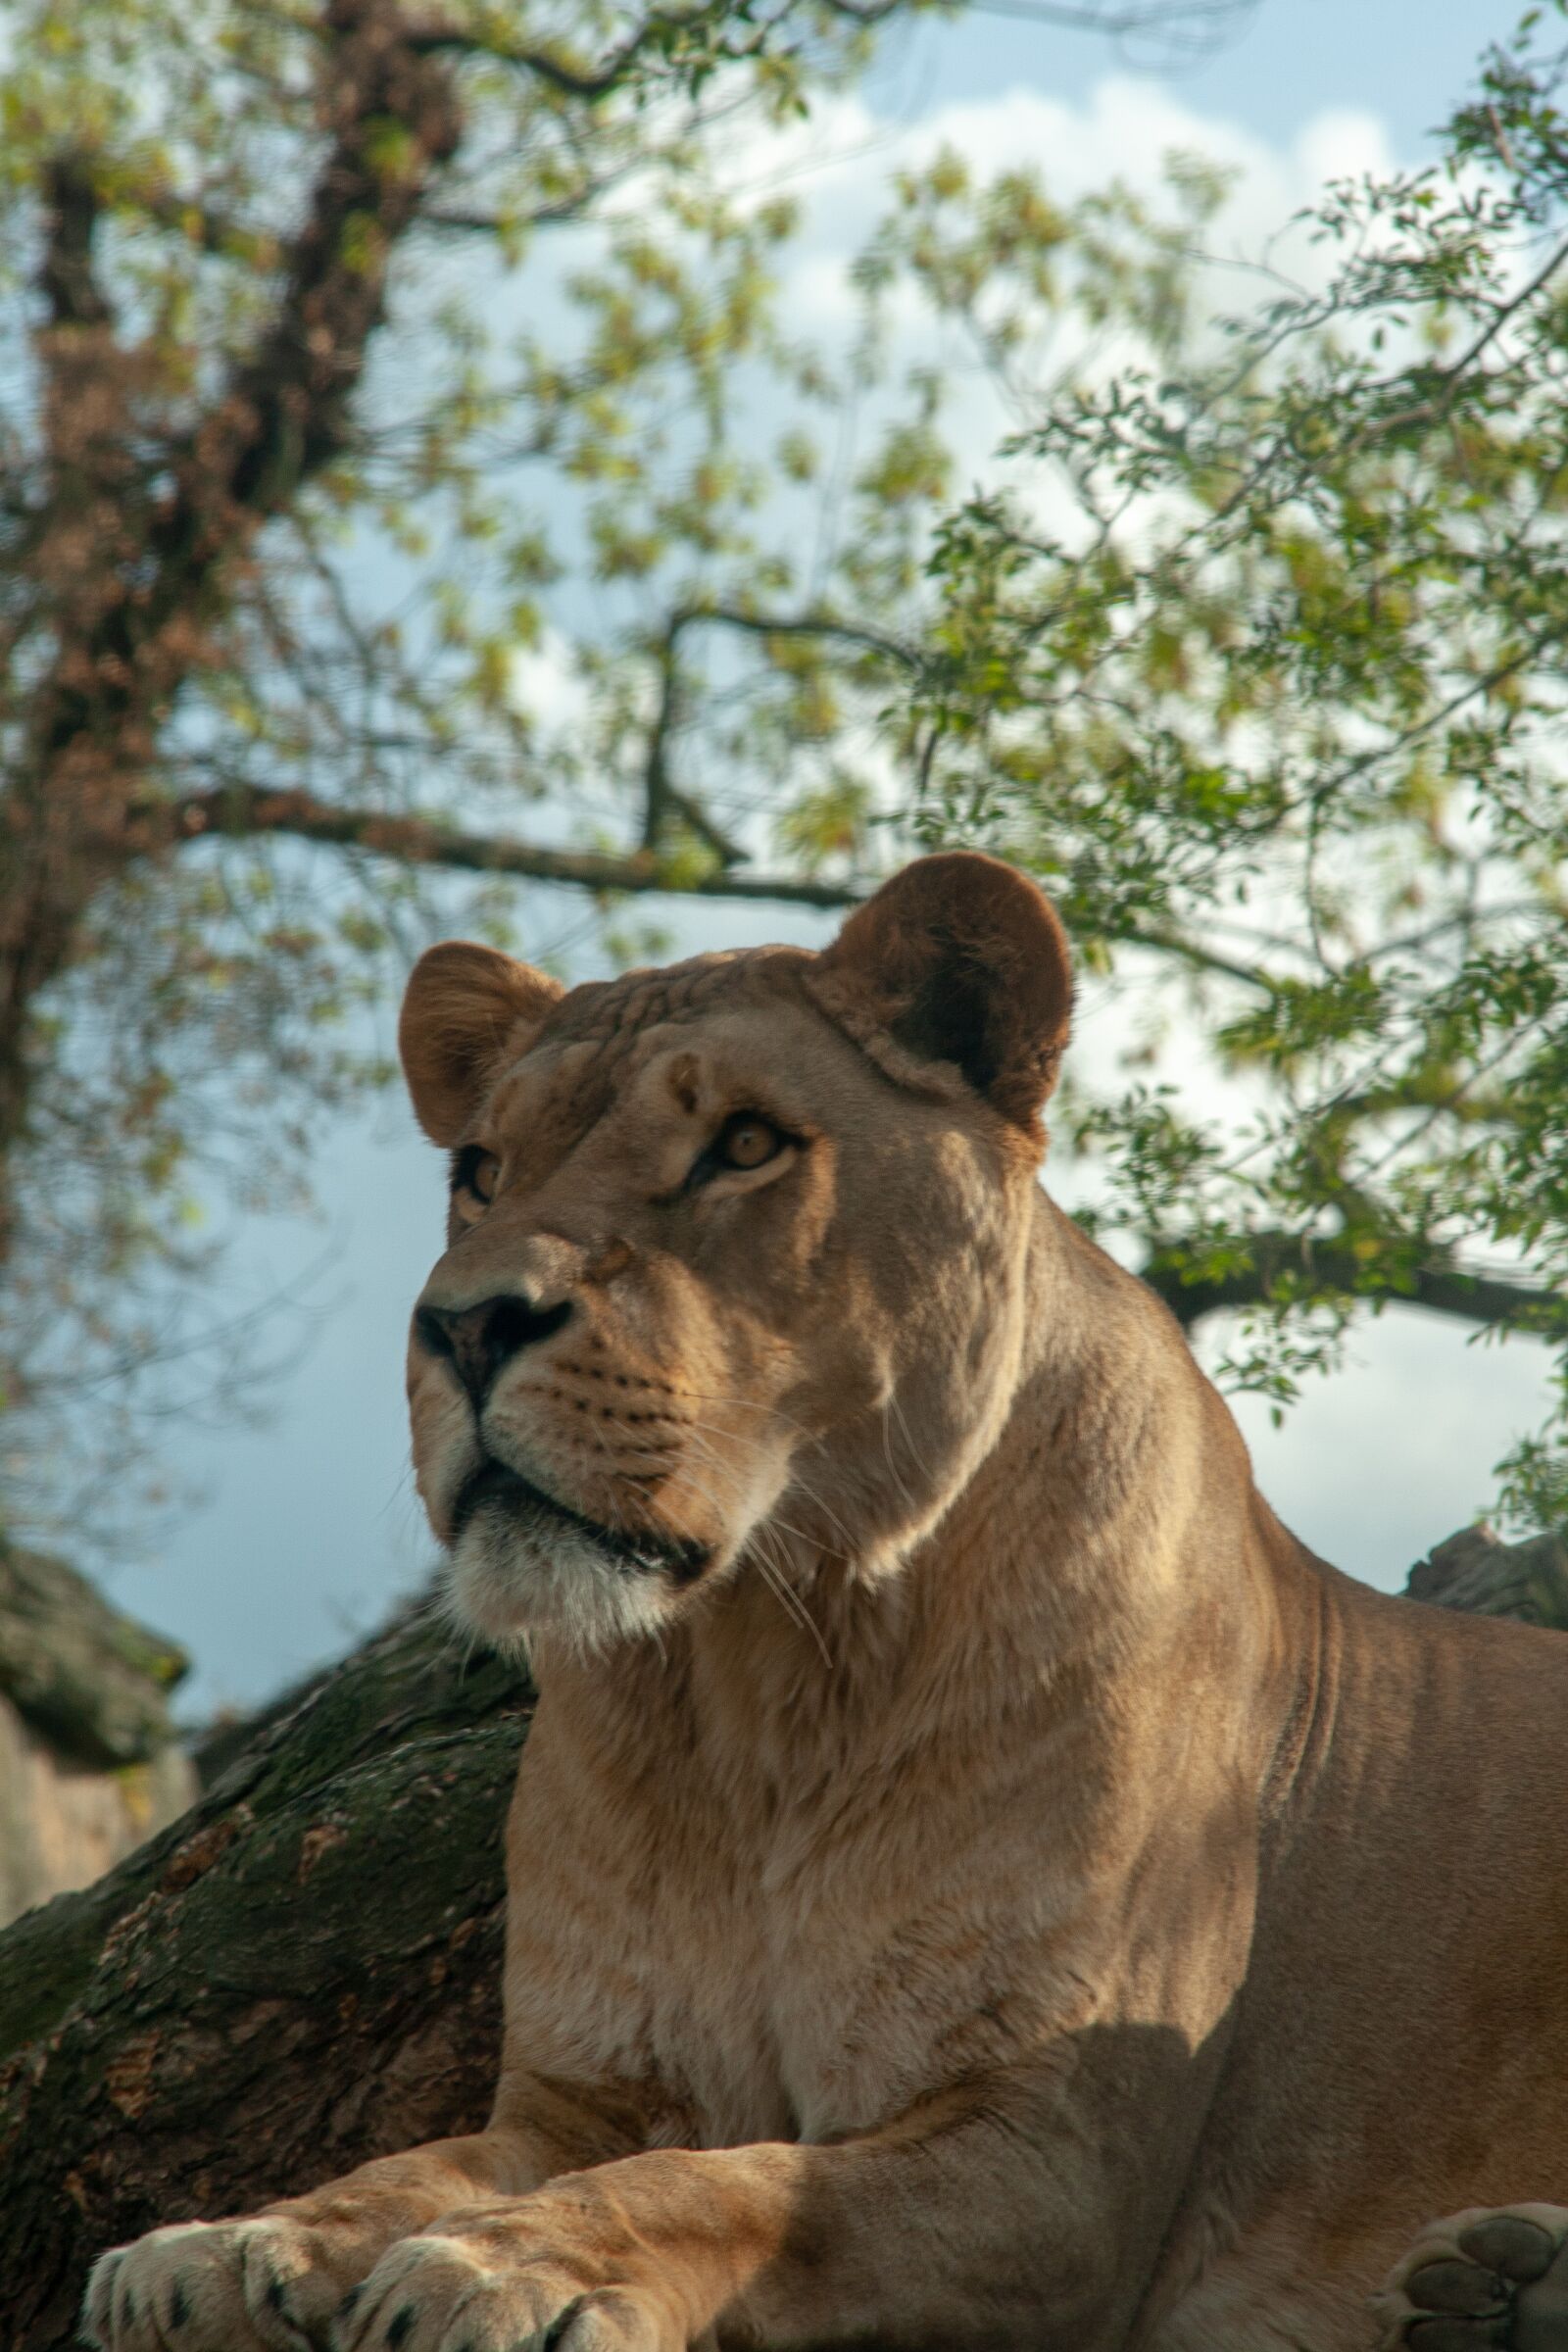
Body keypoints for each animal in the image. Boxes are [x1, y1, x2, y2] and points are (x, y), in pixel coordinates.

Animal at [83, 852, 1568, 2352]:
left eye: (745, 1145)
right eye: (482, 1172)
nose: (461, 1325)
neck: (757, 1689)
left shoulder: (1050, 2152)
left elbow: (734, 2188)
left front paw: (511, 2266)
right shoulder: (584, 2093)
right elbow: (405, 2171)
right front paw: (230, 2248)